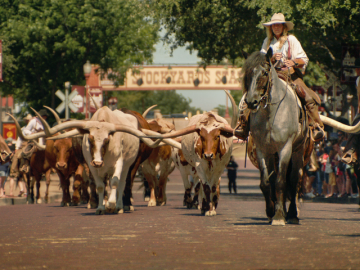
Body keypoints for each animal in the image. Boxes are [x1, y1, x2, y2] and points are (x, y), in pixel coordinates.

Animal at [240, 49, 308, 226]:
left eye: (265, 73)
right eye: (248, 73)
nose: (251, 102)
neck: (271, 115)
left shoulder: (285, 148)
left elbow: (281, 182)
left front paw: (278, 216)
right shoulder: (262, 149)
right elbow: (265, 182)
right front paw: (272, 212)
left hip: (298, 150)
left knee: (293, 180)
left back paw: (292, 215)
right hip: (273, 154)